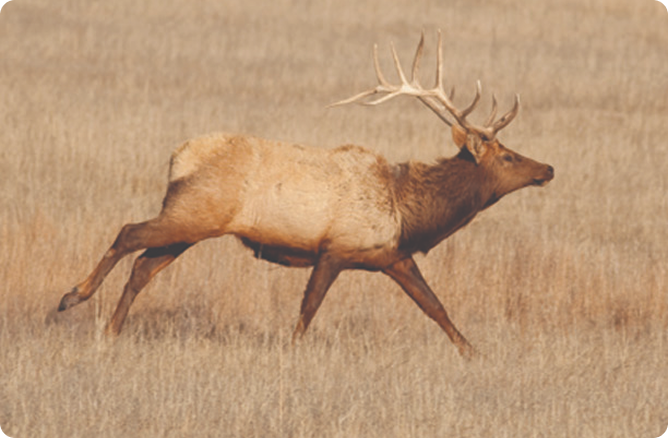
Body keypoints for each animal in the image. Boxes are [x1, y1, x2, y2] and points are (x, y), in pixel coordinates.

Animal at [57, 32, 553, 359]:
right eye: (508, 156)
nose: (547, 168)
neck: (409, 212)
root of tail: (178, 159)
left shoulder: (392, 257)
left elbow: (436, 307)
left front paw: (474, 352)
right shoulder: (334, 249)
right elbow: (309, 307)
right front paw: (292, 350)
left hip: (191, 224)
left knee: (143, 265)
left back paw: (112, 329)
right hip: (192, 214)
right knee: (128, 233)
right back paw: (71, 298)